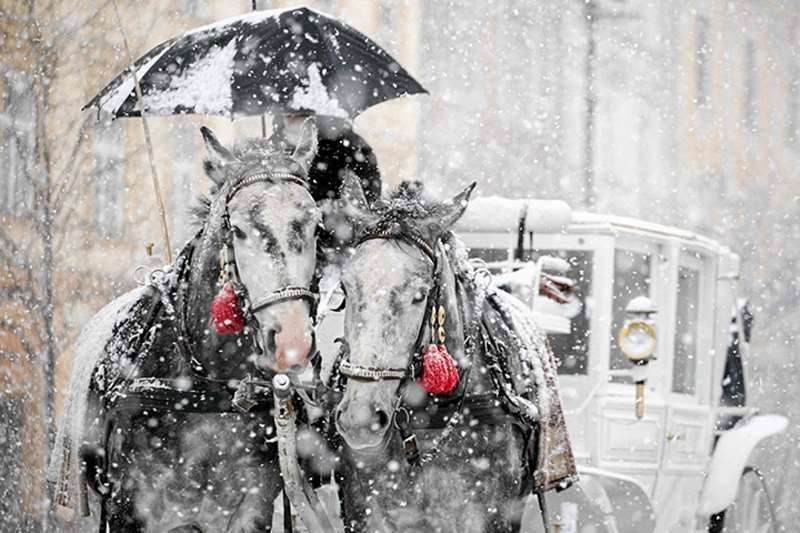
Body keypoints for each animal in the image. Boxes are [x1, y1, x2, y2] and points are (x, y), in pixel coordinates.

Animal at [49, 120, 324, 532]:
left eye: (316, 226)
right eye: (238, 230)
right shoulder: (133, 509)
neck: (205, 388)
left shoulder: (250, 509)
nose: (291, 340)